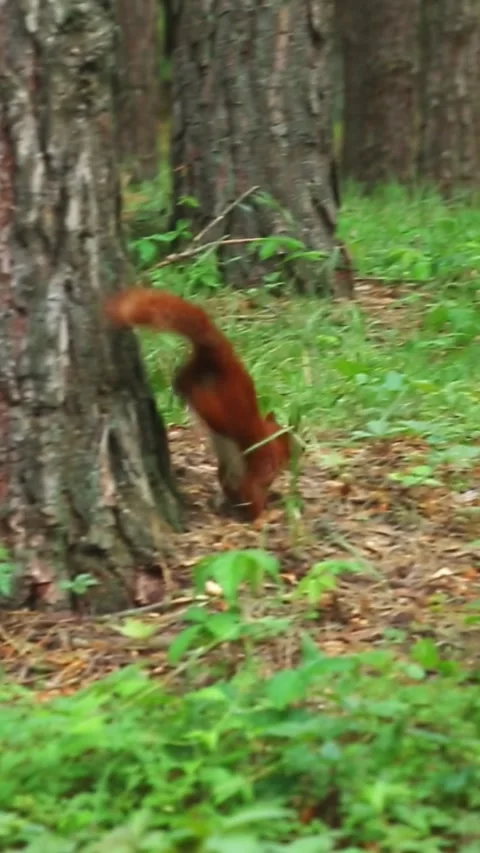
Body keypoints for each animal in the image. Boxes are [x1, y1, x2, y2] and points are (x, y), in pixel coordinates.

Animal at [104, 288, 293, 519]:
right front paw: (264, 515)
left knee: (182, 378)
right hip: (217, 402)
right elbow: (253, 497)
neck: (269, 439)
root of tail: (222, 357)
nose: (292, 458)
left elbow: (230, 486)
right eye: (288, 443)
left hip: (192, 372)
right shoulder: (260, 470)